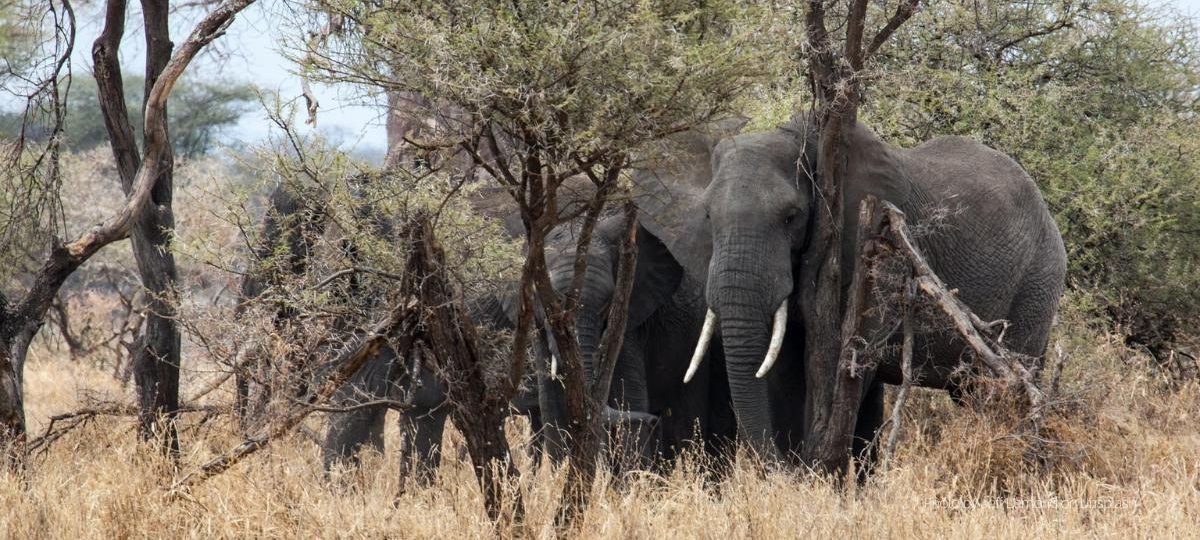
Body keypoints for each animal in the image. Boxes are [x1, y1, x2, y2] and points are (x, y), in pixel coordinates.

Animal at [632, 113, 1067, 464]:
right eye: (707, 216)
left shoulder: (876, 249)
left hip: (1038, 280)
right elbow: (783, 368)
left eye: (791, 217)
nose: (777, 468)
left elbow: (850, 359)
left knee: (1004, 389)